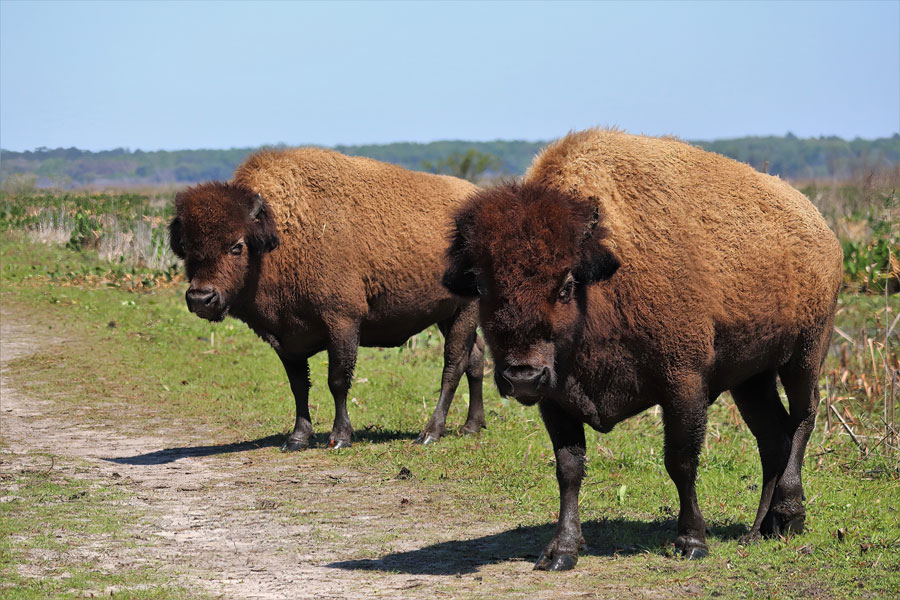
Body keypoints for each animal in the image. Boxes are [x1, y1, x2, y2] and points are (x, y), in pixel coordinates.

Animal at [171, 149, 488, 450]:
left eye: (237, 246)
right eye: (185, 246)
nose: (201, 298)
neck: (280, 234)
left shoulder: (343, 323)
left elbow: (337, 381)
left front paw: (340, 437)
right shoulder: (286, 337)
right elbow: (299, 385)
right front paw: (297, 438)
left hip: (466, 310)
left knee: (453, 365)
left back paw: (430, 433)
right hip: (447, 315)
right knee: (475, 359)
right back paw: (471, 427)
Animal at [442, 129, 844, 568]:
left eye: (566, 285)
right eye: (481, 288)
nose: (523, 376)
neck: (604, 277)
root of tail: (823, 230)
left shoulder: (684, 385)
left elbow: (680, 461)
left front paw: (692, 541)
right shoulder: (556, 398)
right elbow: (569, 468)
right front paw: (561, 550)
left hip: (805, 354)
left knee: (804, 416)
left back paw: (789, 516)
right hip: (752, 376)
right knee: (773, 437)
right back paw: (758, 531)